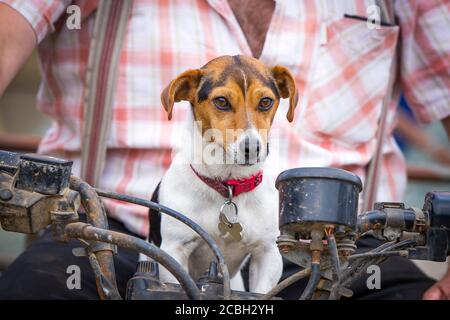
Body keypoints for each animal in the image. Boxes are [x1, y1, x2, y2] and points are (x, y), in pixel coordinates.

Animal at [151, 54, 298, 292]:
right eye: (221, 101)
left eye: (265, 102)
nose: (252, 148)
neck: (228, 185)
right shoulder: (174, 251)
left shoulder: (268, 254)